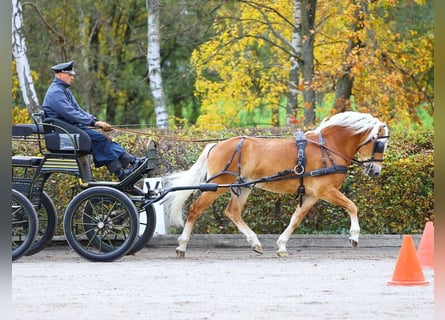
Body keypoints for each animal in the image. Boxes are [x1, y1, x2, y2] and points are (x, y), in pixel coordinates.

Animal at [163, 110, 388, 258]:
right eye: (380, 144)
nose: (375, 171)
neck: (328, 148)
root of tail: (216, 145)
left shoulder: (311, 194)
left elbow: (296, 219)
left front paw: (281, 246)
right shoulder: (325, 190)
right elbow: (352, 206)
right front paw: (354, 236)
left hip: (243, 186)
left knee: (233, 212)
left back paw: (255, 242)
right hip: (217, 186)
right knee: (195, 209)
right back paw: (182, 246)